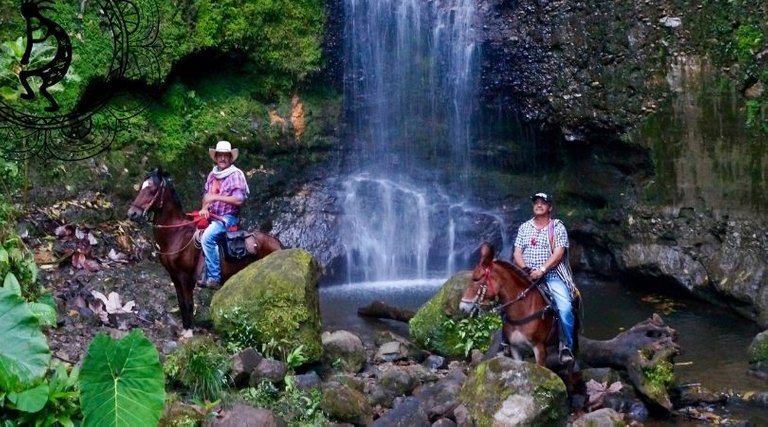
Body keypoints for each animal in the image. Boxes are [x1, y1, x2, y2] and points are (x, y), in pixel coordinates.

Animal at [127, 169, 284, 330]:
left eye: (152, 190)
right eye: (141, 188)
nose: (132, 213)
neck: (176, 235)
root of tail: (276, 242)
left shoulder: (185, 277)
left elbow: (189, 305)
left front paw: (189, 330)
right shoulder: (174, 276)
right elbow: (182, 304)